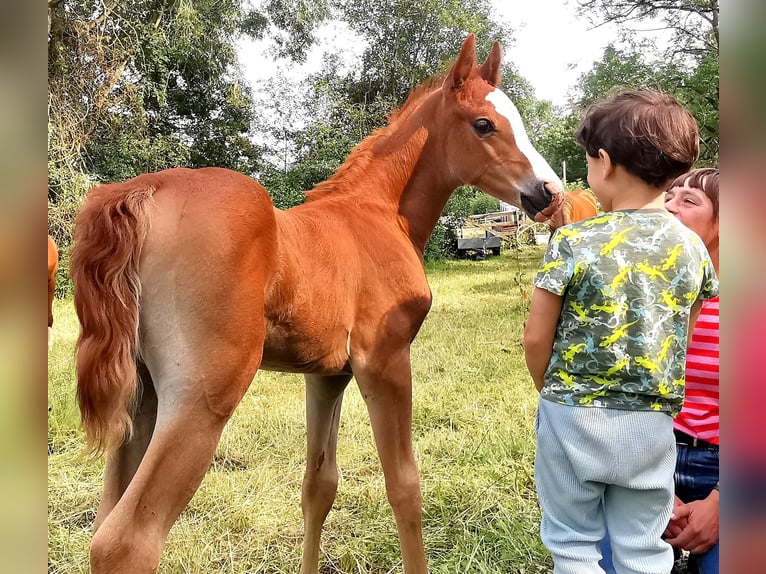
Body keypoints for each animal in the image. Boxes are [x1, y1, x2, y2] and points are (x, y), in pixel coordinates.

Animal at [70, 33, 564, 572]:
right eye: (483, 124)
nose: (549, 192)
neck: (379, 213)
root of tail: (142, 189)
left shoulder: (327, 375)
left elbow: (318, 487)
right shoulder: (384, 361)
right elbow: (404, 486)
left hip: (142, 398)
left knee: (105, 518)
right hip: (202, 396)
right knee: (127, 540)